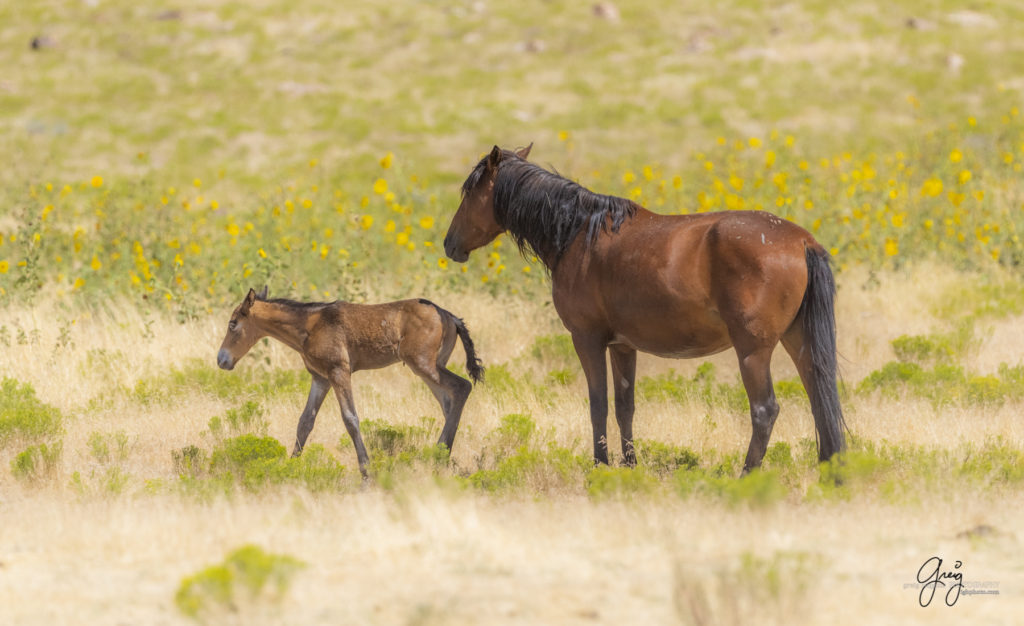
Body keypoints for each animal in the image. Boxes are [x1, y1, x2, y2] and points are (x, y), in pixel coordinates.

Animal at [215, 286, 483, 477]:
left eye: (232, 324)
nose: (221, 359)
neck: (310, 325)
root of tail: (450, 317)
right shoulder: (320, 378)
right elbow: (305, 422)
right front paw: (291, 466)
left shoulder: (339, 372)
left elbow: (350, 419)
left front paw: (366, 473)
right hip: (430, 367)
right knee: (449, 403)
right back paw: (442, 455)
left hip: (424, 364)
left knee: (462, 387)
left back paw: (440, 455)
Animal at [444, 145, 843, 471]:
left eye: (469, 191)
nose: (449, 244)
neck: (578, 234)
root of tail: (801, 241)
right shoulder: (623, 345)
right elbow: (625, 406)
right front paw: (630, 466)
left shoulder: (586, 339)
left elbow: (598, 403)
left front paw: (600, 465)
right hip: (798, 341)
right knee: (820, 402)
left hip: (753, 350)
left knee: (765, 410)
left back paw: (747, 474)